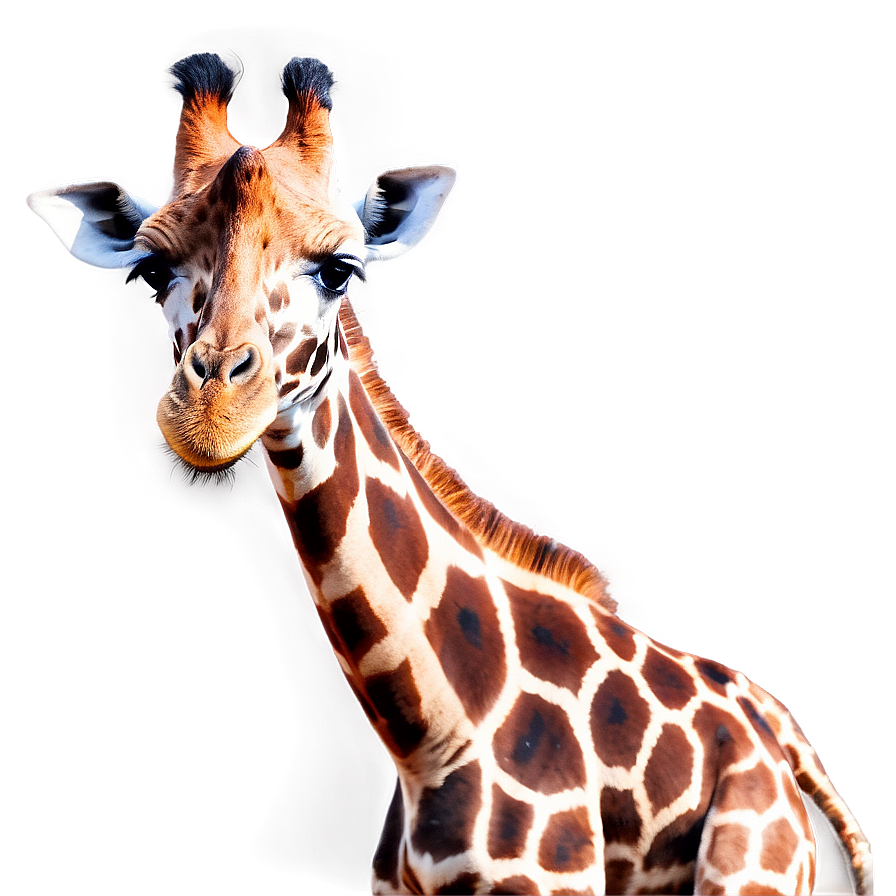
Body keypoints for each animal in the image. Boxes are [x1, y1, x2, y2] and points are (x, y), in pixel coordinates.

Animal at [27, 53, 874, 896]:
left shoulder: (551, 883)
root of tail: (774, 731)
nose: (211, 414)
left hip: (753, 872)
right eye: (150, 270)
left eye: (340, 270)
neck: (426, 735)